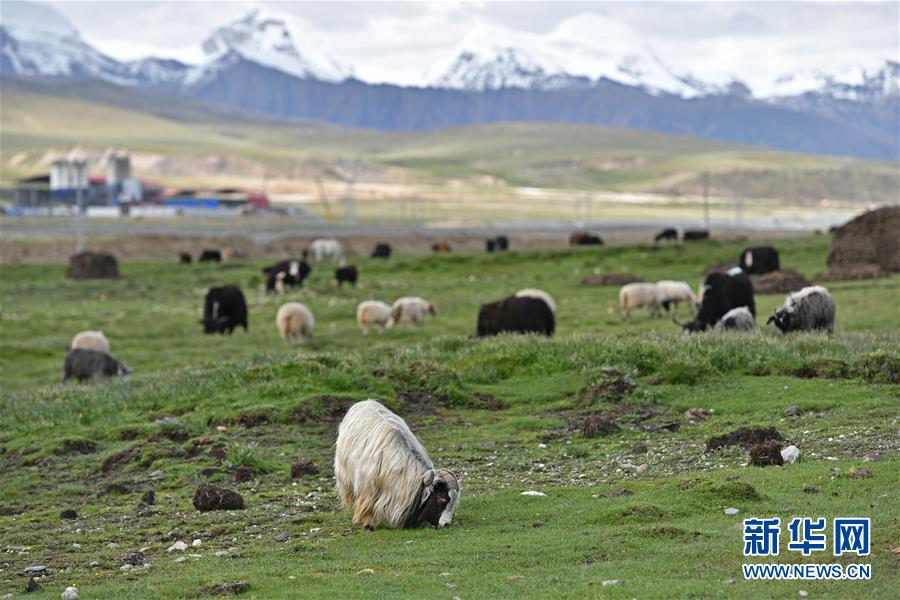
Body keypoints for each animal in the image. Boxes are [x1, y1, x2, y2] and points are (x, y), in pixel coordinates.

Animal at [334, 400, 460, 528]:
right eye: (442, 499)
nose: (446, 524)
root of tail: (364, 401)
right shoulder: (368, 485)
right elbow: (367, 504)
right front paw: (367, 523)